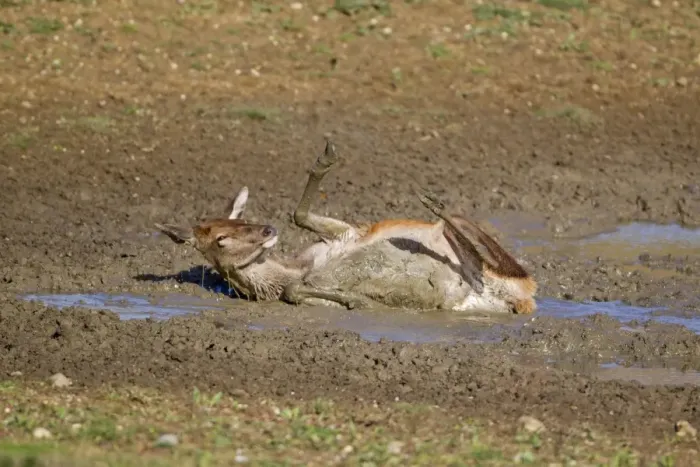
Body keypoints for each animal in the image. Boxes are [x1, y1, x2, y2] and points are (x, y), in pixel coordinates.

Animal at [155, 140, 537, 314]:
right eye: (221, 239)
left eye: (239, 219)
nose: (266, 230)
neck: (297, 267)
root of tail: (523, 298)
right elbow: (295, 292)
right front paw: (356, 299)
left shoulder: (347, 233)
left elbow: (299, 215)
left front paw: (325, 158)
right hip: (490, 282)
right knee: (483, 262)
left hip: (492, 259)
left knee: (466, 235)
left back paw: (435, 205)